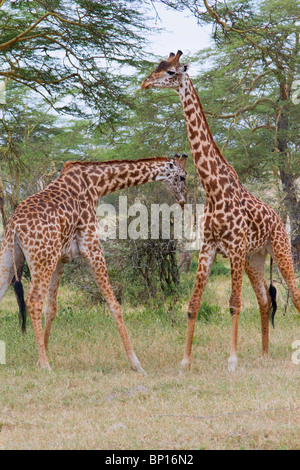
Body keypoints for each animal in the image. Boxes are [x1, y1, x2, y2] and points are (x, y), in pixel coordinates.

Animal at [0, 154, 188, 370]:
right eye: (182, 176)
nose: (183, 200)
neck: (97, 184)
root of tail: (14, 224)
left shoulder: (62, 258)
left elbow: (52, 309)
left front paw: (39, 359)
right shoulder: (90, 245)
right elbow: (114, 305)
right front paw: (136, 364)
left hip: (11, 257)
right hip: (42, 258)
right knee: (33, 301)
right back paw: (48, 367)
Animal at [141, 51, 300, 372]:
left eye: (171, 72)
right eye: (157, 67)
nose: (145, 83)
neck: (214, 188)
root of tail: (278, 218)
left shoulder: (235, 248)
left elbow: (233, 304)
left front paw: (232, 361)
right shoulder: (208, 248)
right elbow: (192, 305)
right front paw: (185, 362)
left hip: (279, 249)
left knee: (296, 294)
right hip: (255, 258)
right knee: (265, 300)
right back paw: (264, 355)